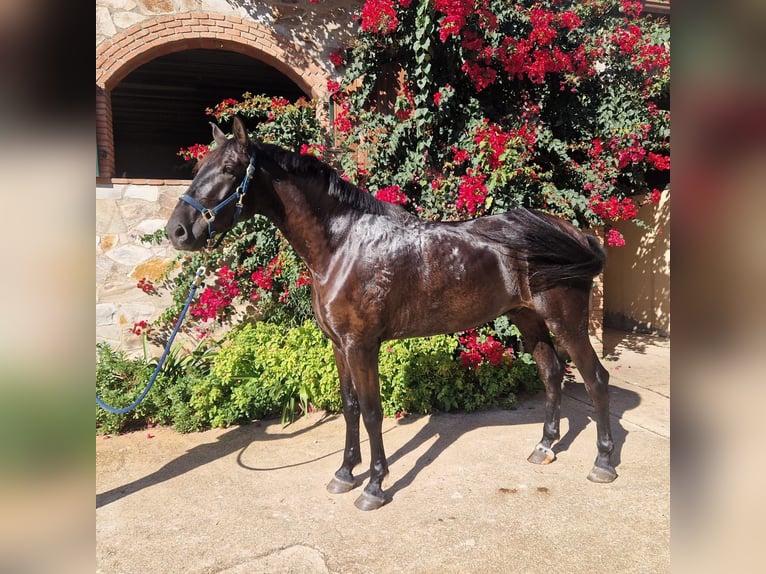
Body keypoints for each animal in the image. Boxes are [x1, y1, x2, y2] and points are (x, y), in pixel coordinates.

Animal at [166, 116, 617, 510]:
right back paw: (544, 447)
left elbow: (371, 411)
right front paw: (345, 474)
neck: (342, 246)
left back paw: (603, 463)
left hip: (567, 322)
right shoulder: (339, 345)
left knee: (596, 379)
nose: (178, 231)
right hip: (529, 319)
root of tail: (576, 234)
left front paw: (374, 486)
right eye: (198, 167)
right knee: (551, 373)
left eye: (228, 168)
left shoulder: (362, 345)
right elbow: (349, 407)